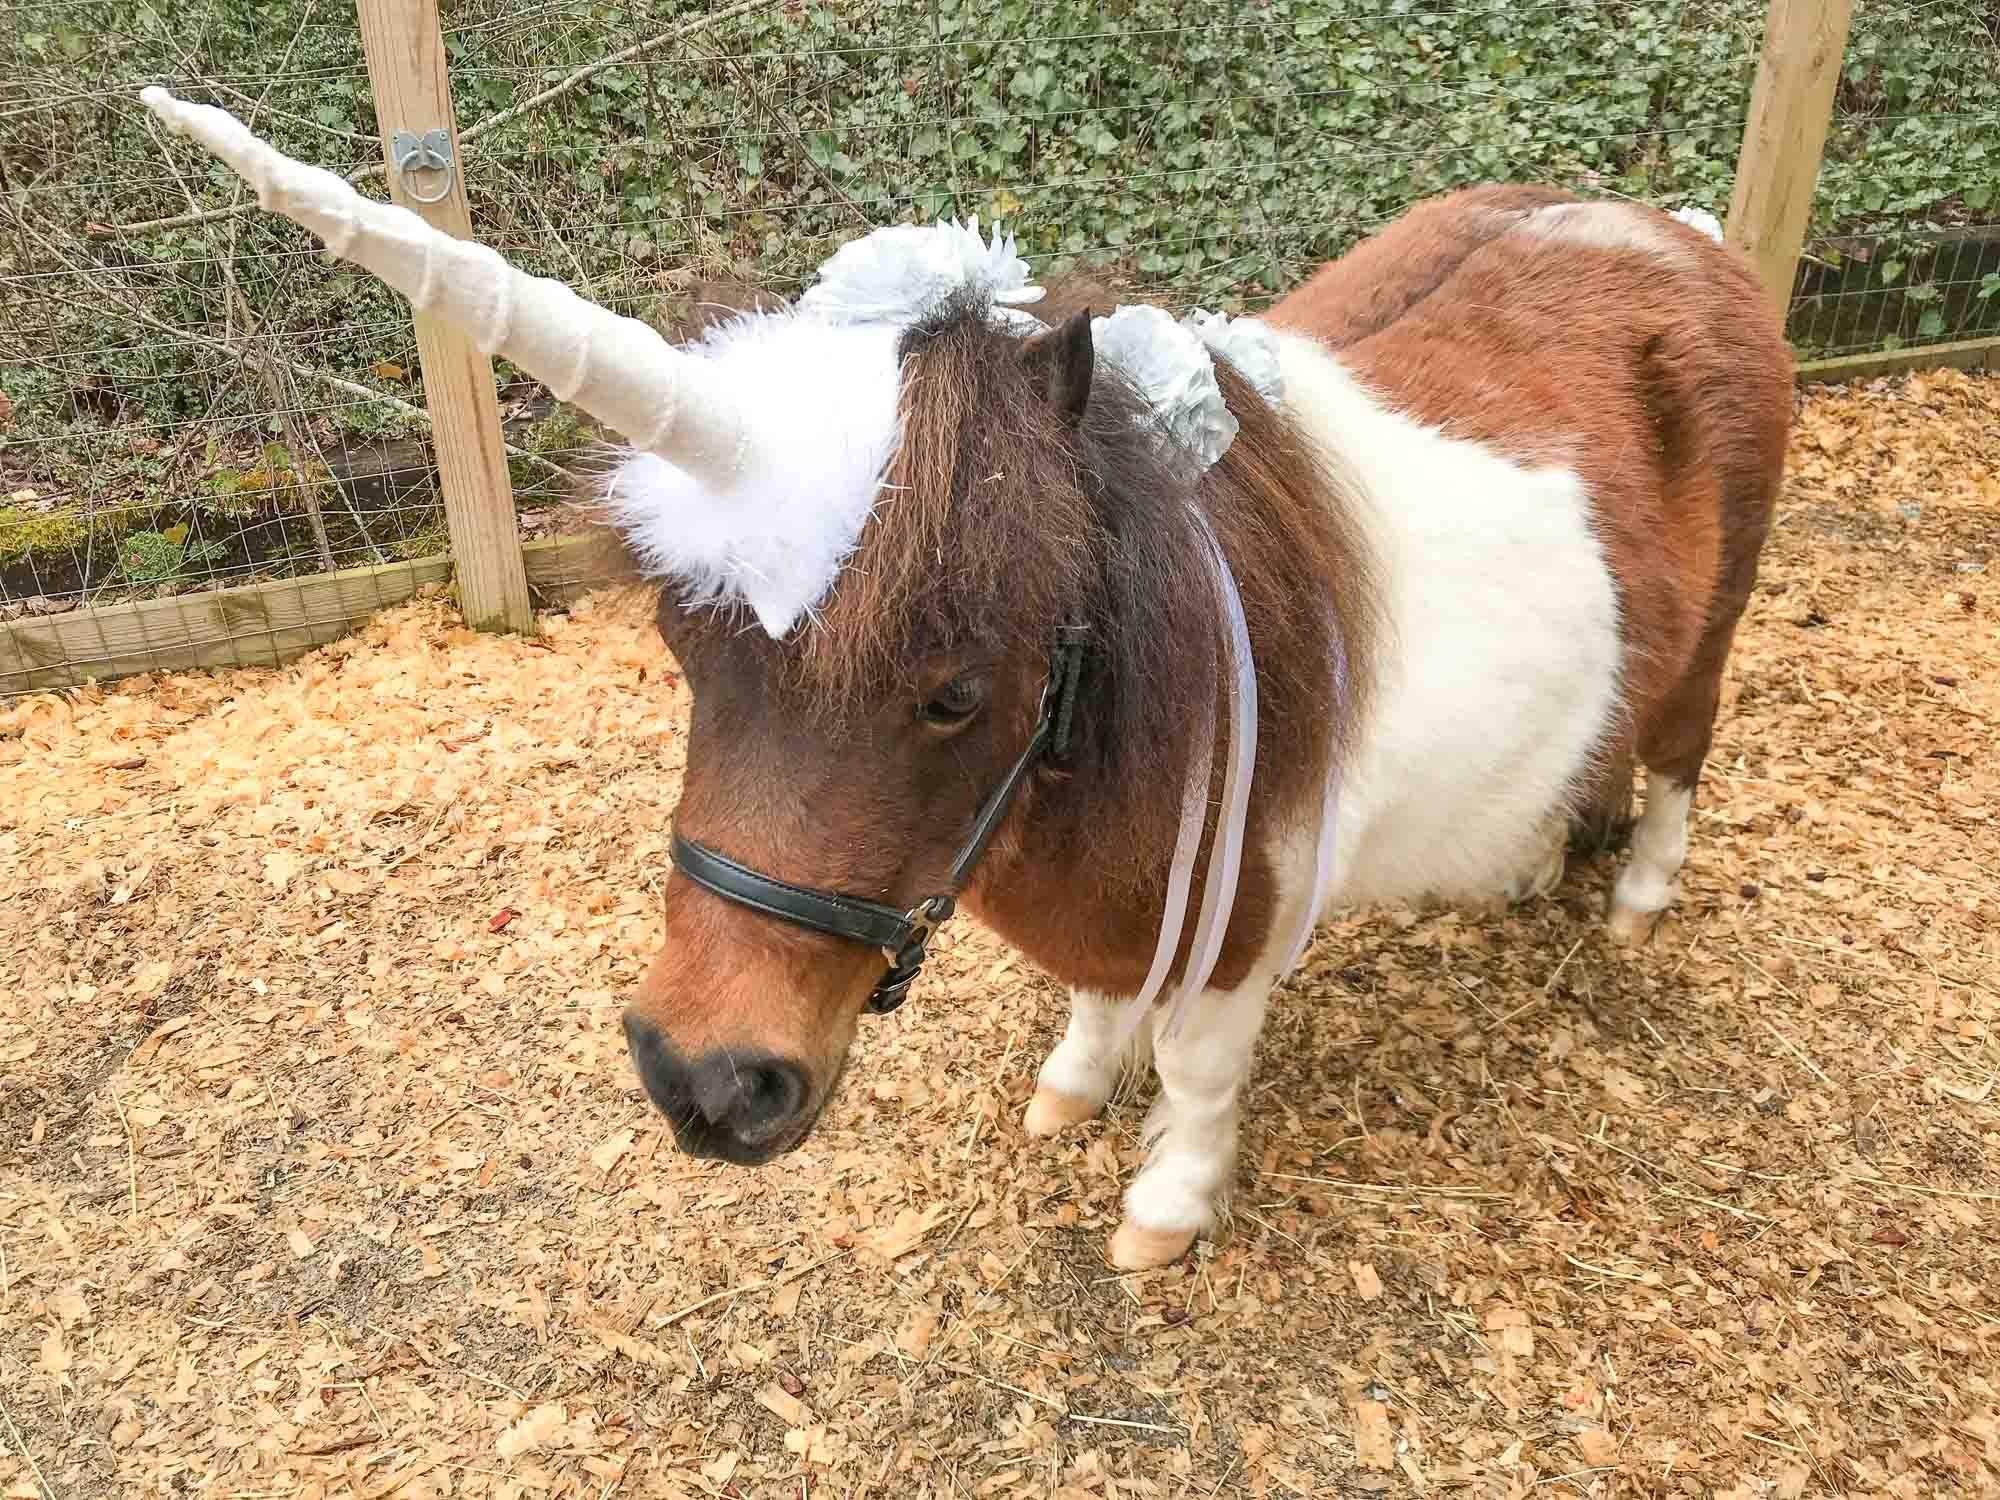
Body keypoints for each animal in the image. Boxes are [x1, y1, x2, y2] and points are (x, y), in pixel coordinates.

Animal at [144, 91, 1793, 1271]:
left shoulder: (1241, 921)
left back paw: (1634, 895)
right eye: (686, 648)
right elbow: (1097, 1001)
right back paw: (1528, 863)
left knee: (1680, 752)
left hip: (1713, 640)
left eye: (948, 692)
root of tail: (1675, 235)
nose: (701, 1082)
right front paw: (1073, 1086)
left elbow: (1200, 1074)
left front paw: (1166, 1209)